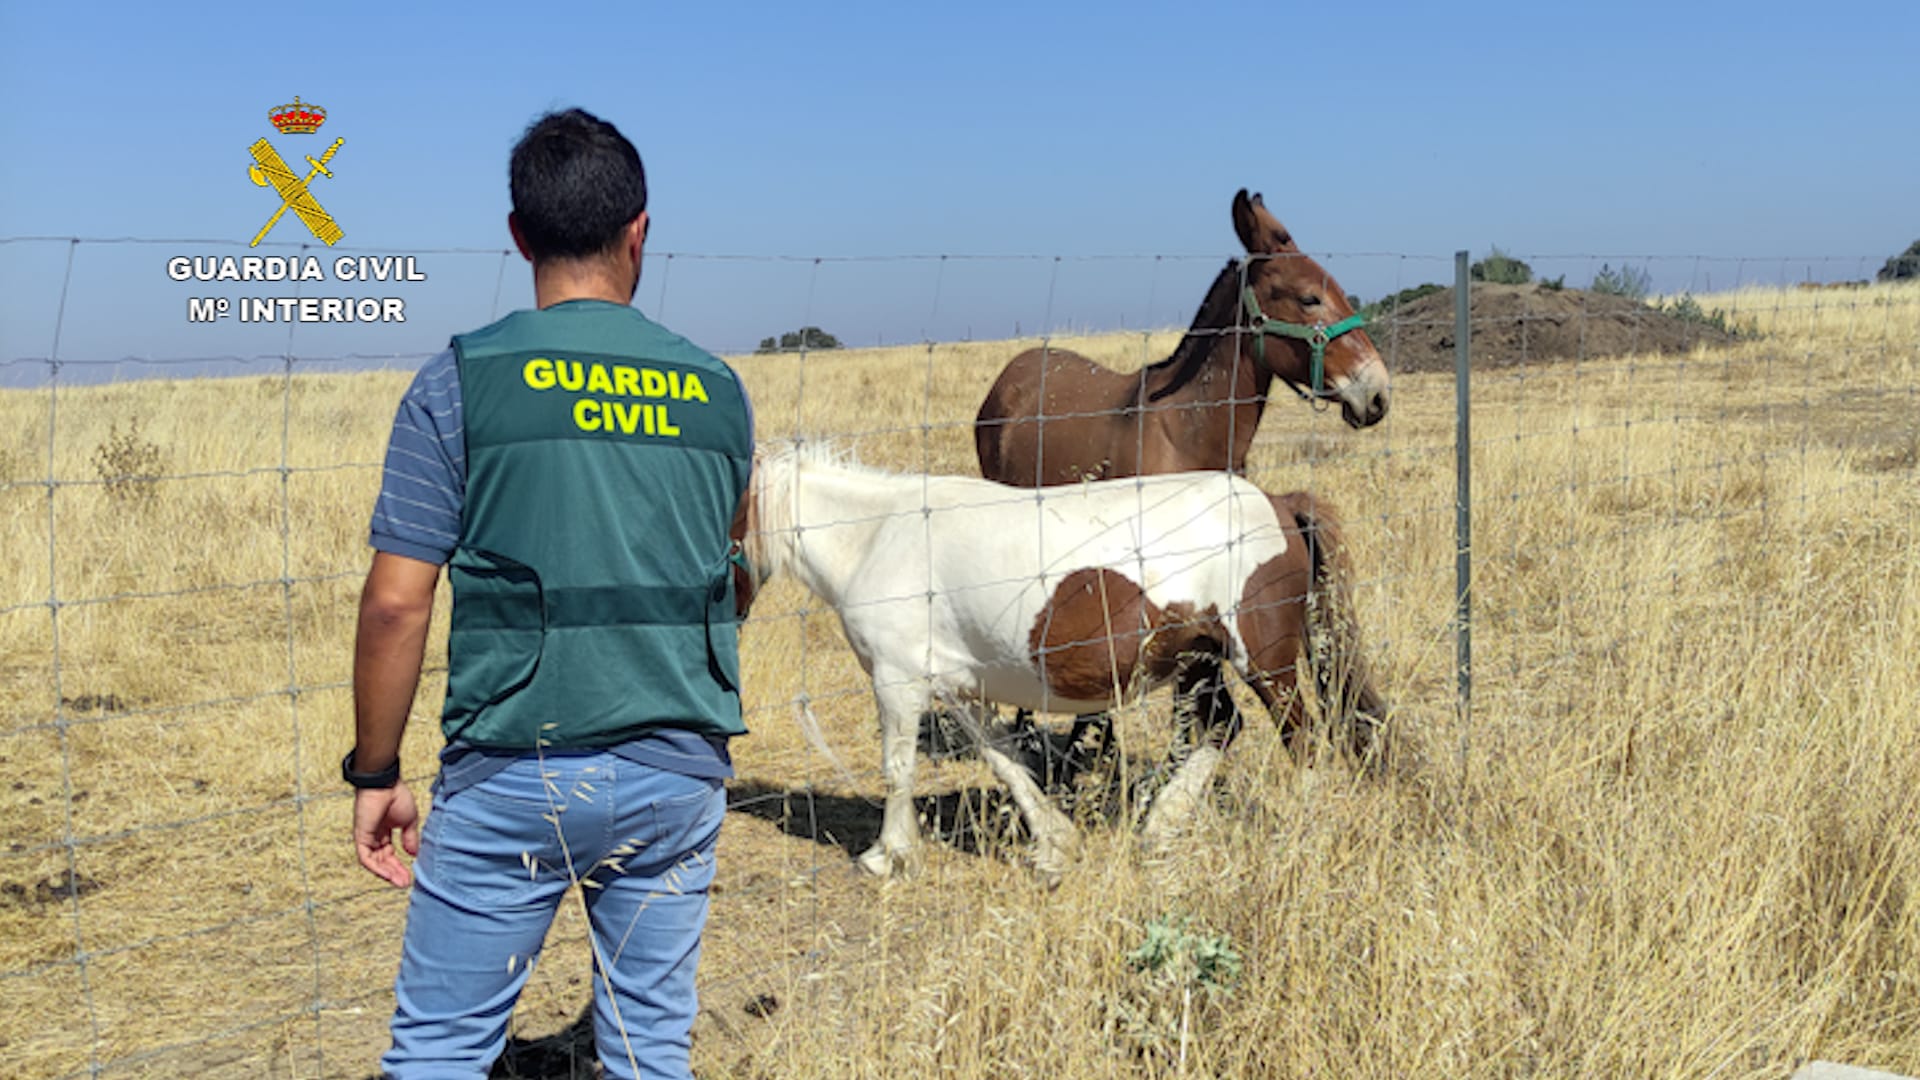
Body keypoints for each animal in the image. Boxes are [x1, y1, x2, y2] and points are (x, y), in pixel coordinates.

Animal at [733, 443, 1382, 876]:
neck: (875, 538)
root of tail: (1280, 504)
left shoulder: (898, 681)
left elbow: (898, 769)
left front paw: (887, 855)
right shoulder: (956, 686)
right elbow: (1002, 757)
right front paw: (1054, 842)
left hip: (1264, 662)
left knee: (1302, 737)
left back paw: (1300, 832)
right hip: (1198, 661)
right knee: (1224, 726)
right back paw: (1161, 825)